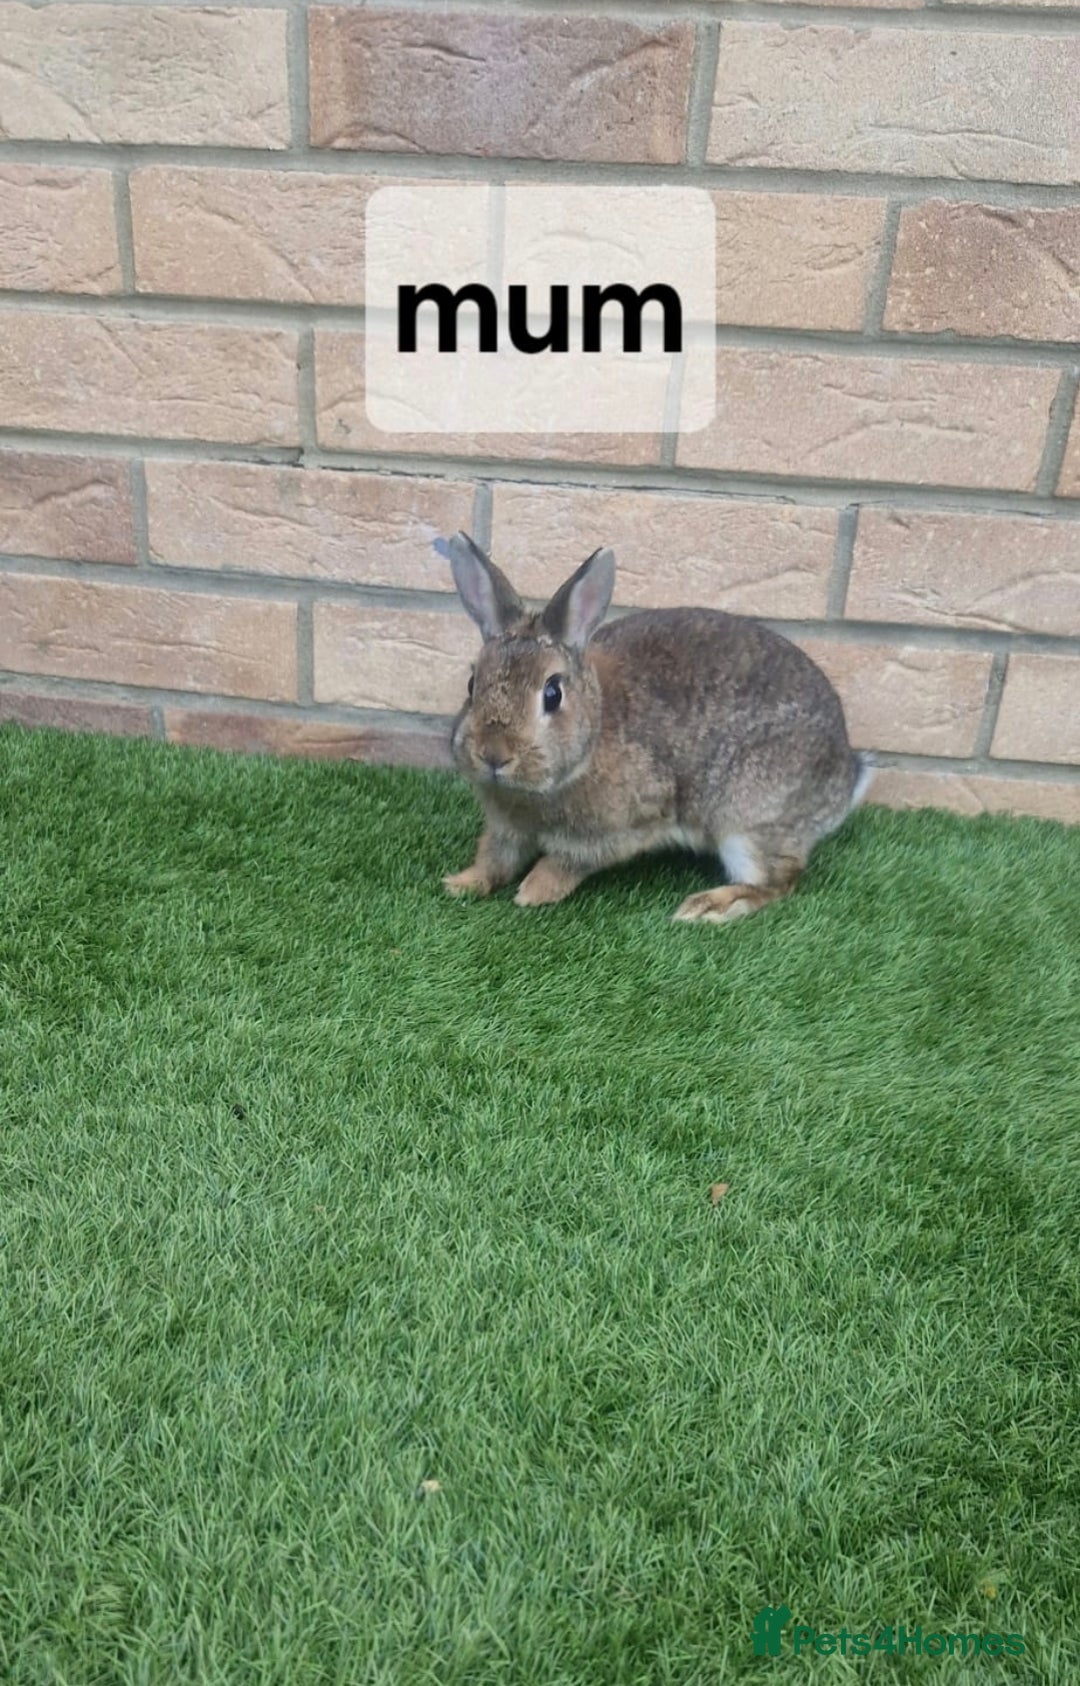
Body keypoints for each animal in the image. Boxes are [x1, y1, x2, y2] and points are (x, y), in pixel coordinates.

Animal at [441, 532, 873, 923]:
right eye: (472, 684)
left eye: (552, 693)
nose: (493, 755)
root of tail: (845, 781)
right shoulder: (506, 829)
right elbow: (494, 858)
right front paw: (462, 883)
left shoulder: (623, 828)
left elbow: (567, 862)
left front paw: (533, 891)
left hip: (747, 821)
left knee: (778, 881)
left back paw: (708, 906)